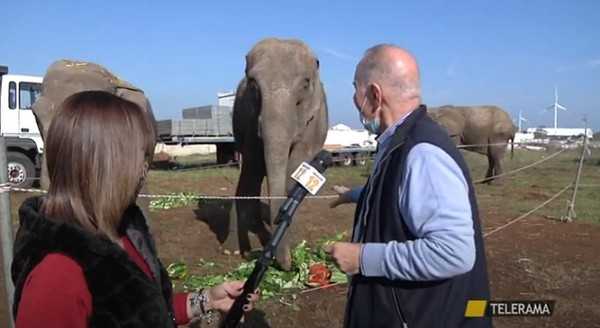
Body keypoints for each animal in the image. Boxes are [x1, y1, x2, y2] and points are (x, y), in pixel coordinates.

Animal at [224, 37, 328, 270]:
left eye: (305, 84)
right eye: (253, 84)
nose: (287, 265)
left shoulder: (313, 121)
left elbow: (296, 169)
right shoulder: (249, 116)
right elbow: (253, 165)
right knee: (249, 176)